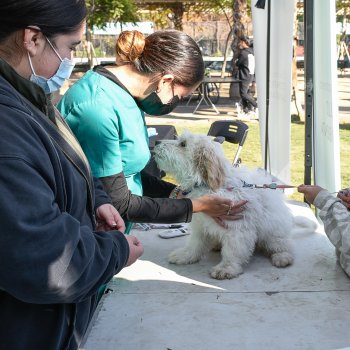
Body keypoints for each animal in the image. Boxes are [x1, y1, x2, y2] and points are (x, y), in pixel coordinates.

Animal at [154, 130, 302, 280]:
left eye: (183, 144)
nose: (156, 142)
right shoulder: (200, 224)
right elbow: (195, 243)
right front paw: (185, 255)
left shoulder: (237, 227)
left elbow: (232, 250)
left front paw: (226, 268)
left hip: (273, 229)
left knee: (283, 244)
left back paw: (282, 256)